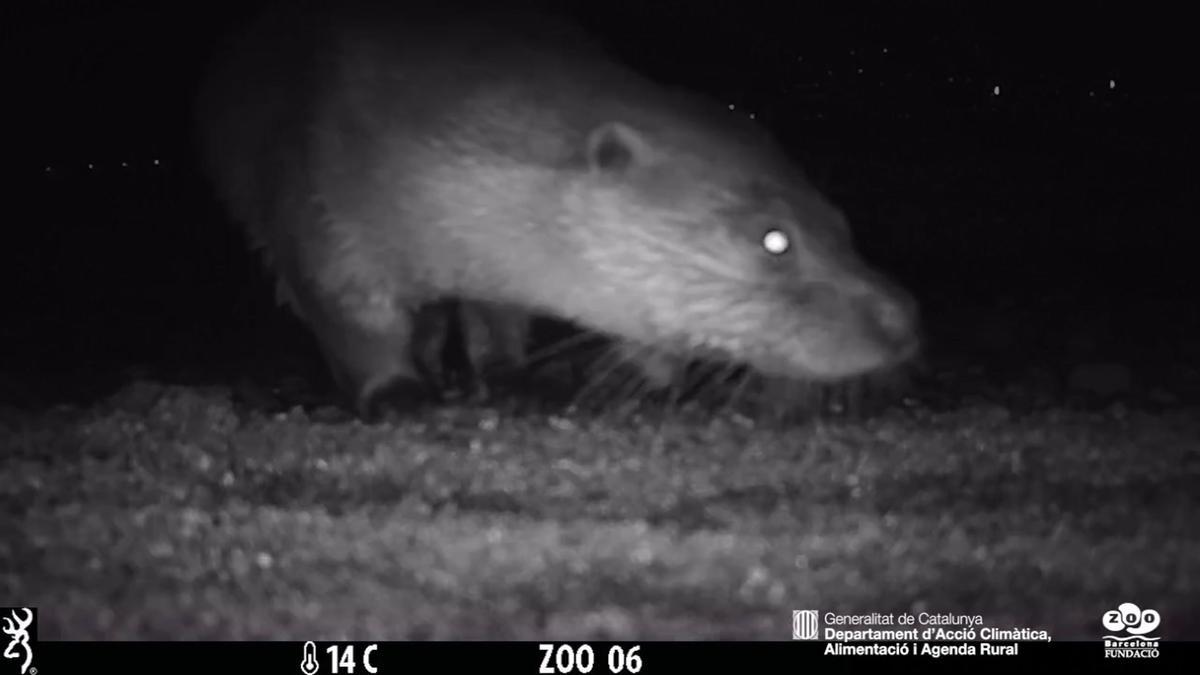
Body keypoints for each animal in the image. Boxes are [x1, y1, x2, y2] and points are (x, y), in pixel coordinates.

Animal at [194, 1, 916, 415]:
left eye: (842, 224)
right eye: (774, 240)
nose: (904, 321)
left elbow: (500, 313)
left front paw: (531, 378)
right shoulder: (314, 198)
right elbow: (348, 312)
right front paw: (394, 392)